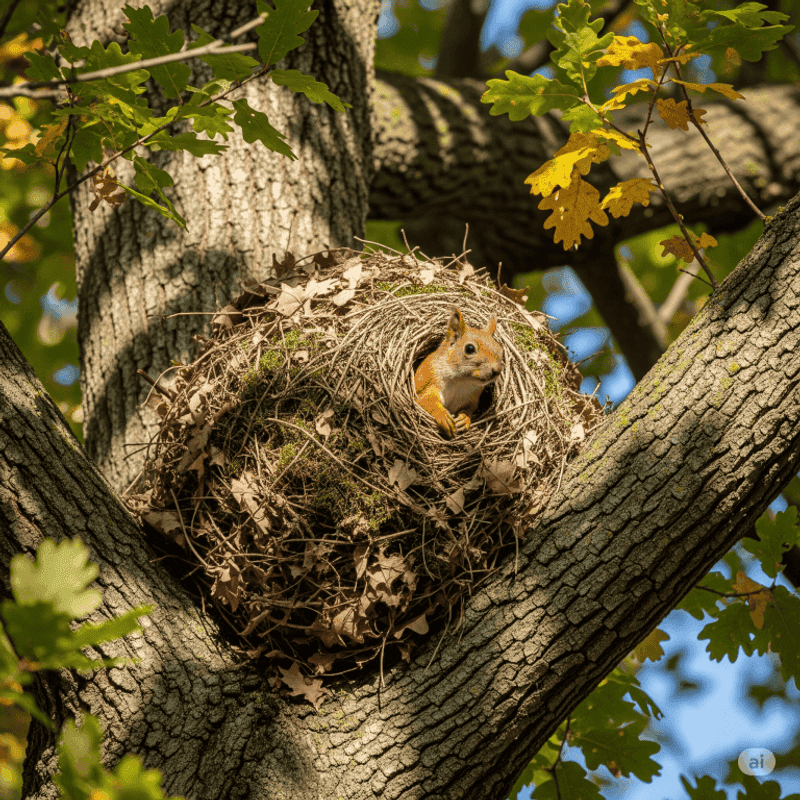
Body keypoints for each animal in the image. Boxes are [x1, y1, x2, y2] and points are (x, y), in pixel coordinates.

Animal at [414, 307, 504, 439]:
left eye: (500, 350)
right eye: (470, 348)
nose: (497, 370)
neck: (461, 381)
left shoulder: (471, 398)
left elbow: (470, 408)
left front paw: (465, 418)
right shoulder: (429, 382)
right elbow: (425, 400)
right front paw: (442, 415)